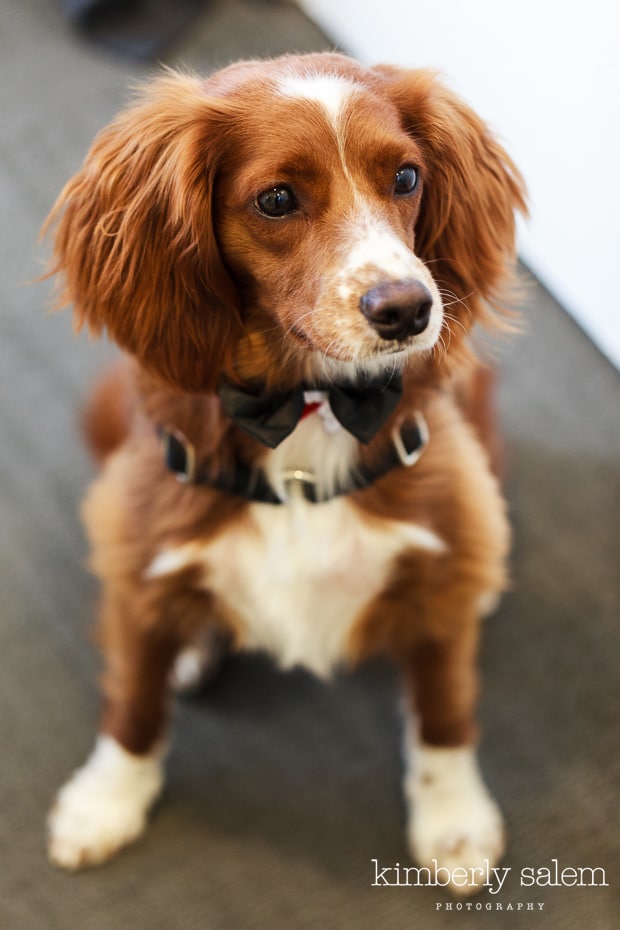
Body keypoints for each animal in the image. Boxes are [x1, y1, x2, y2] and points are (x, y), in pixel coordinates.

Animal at [44, 52, 528, 892]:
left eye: (406, 177)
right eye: (276, 199)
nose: (409, 308)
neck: (307, 412)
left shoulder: (442, 548)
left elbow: (443, 705)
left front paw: (456, 822)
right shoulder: (135, 544)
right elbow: (133, 698)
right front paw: (104, 802)